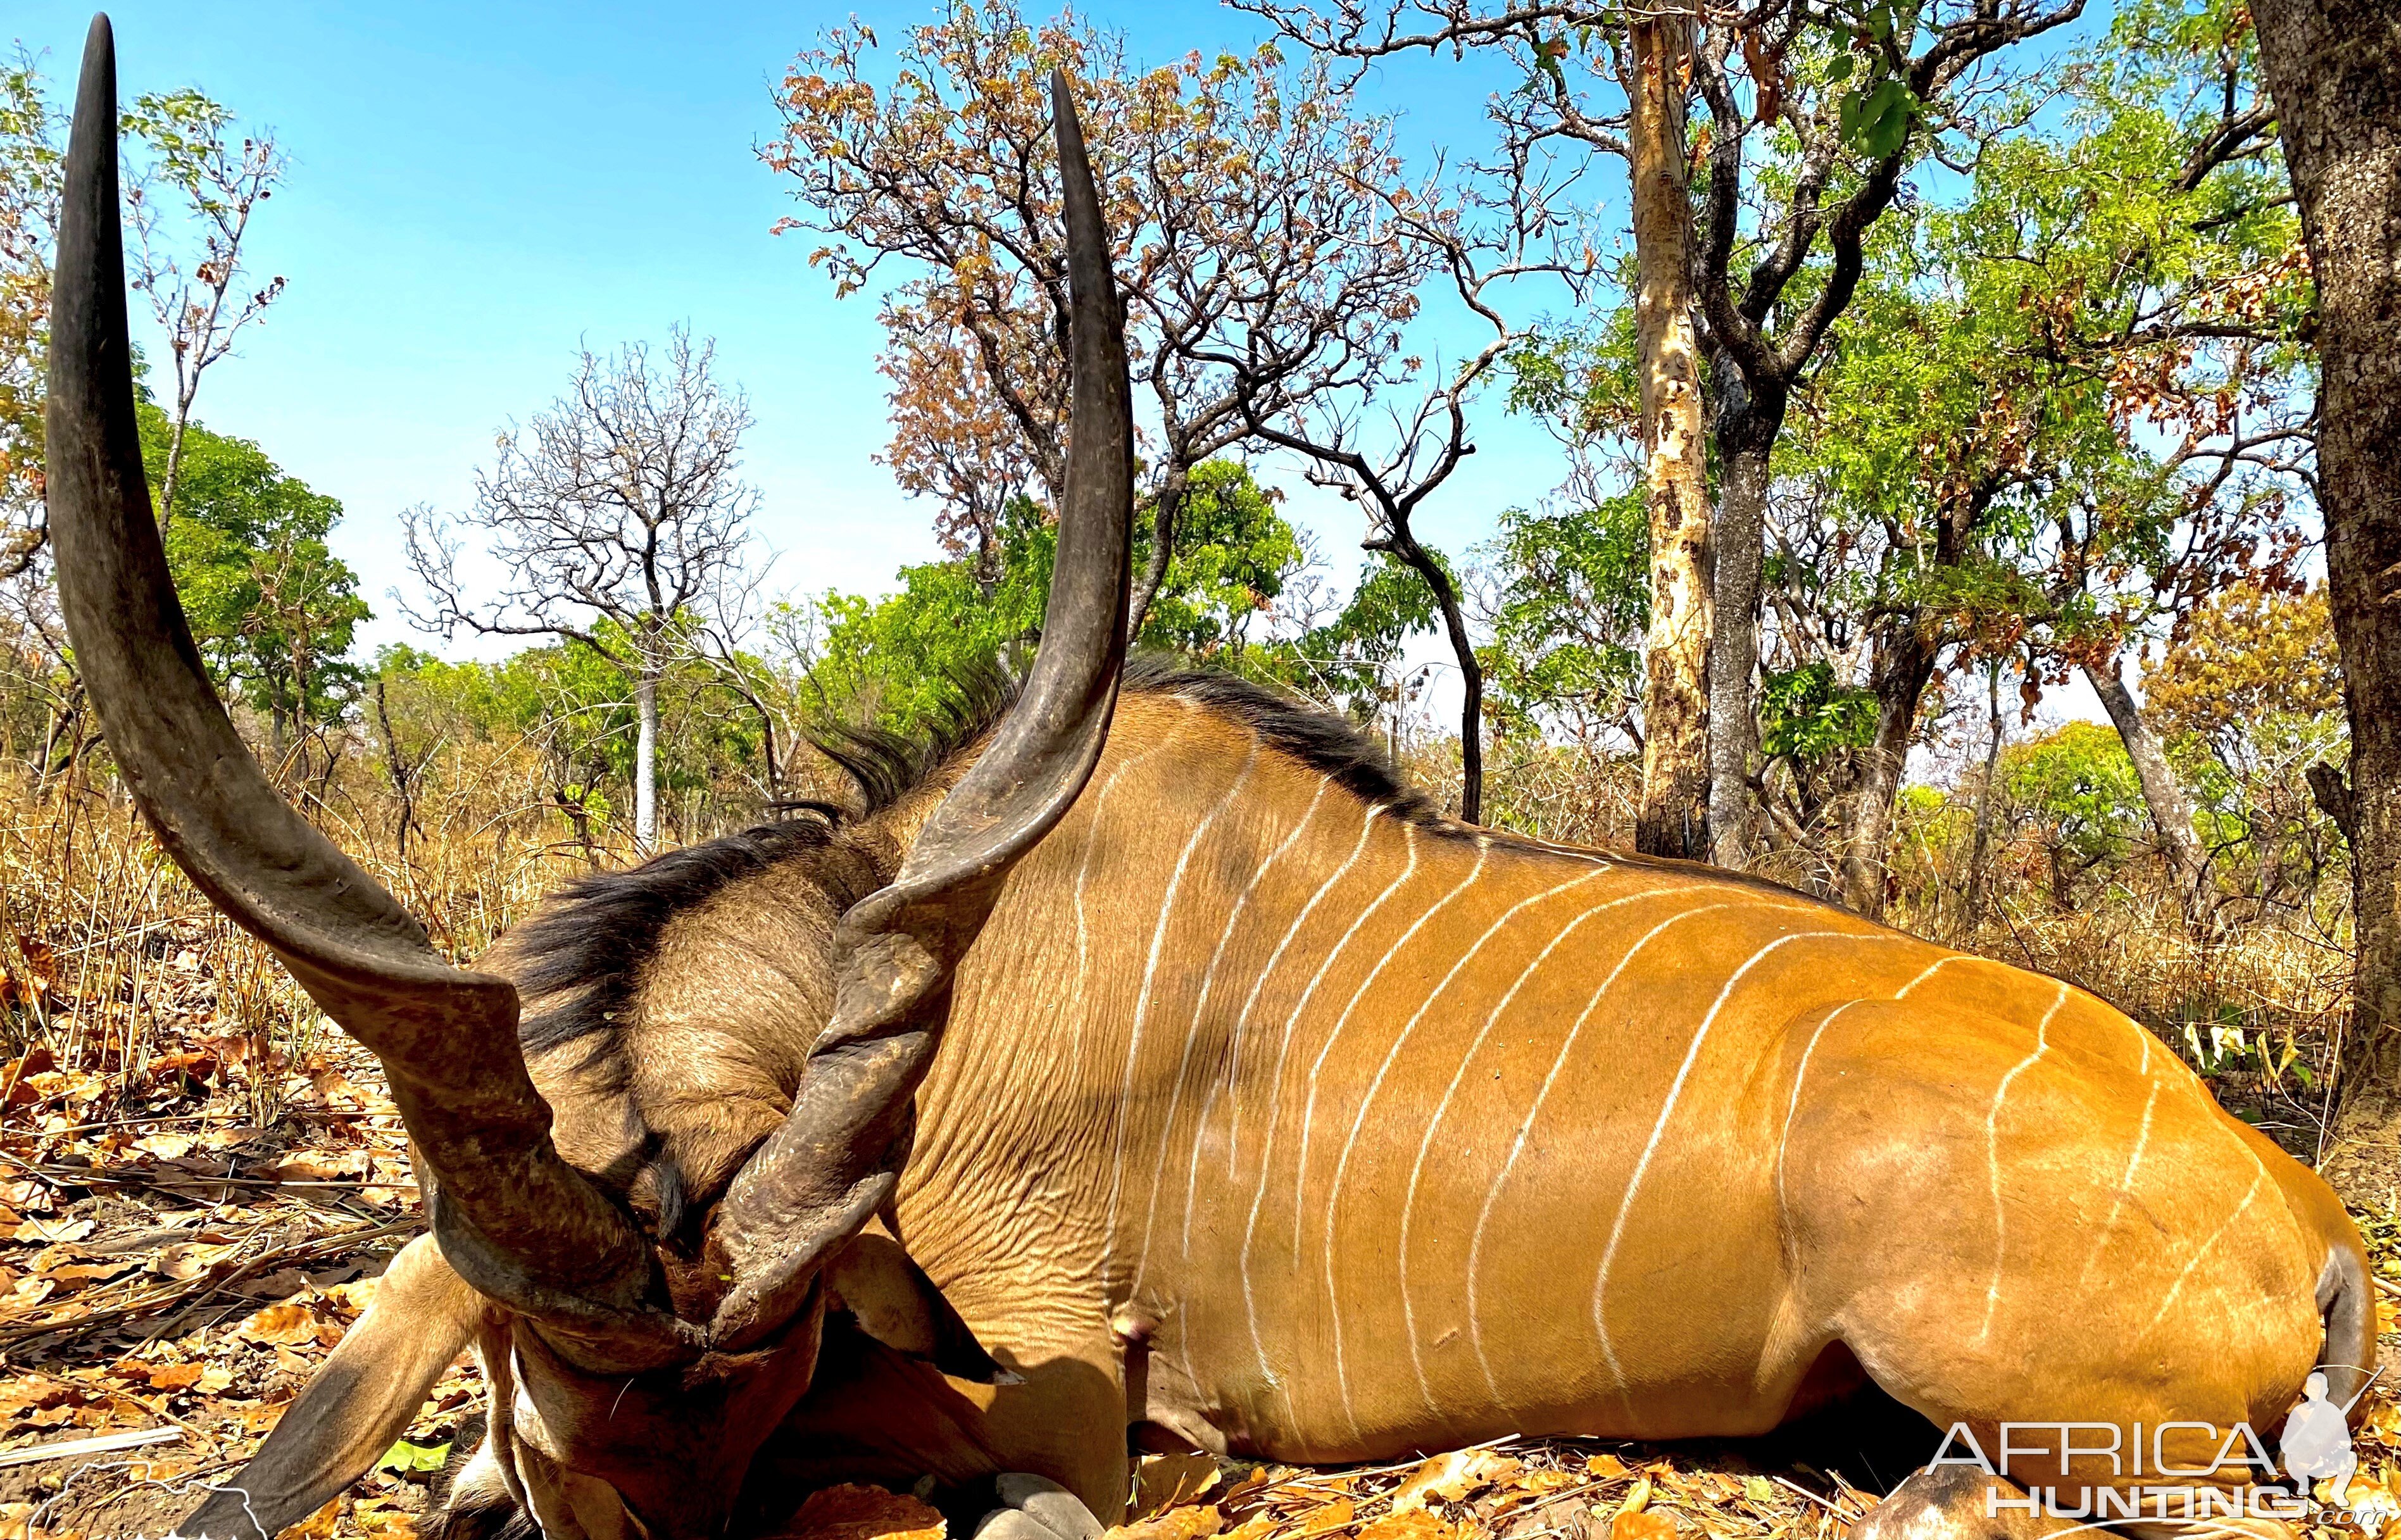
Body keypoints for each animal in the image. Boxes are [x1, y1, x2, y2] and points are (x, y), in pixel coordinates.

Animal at [46, 15, 2372, 1537]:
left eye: (753, 1415)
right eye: (559, 1425)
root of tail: (2302, 1200)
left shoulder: (1059, 1377)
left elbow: (1052, 1474)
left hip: (2037, 1394)